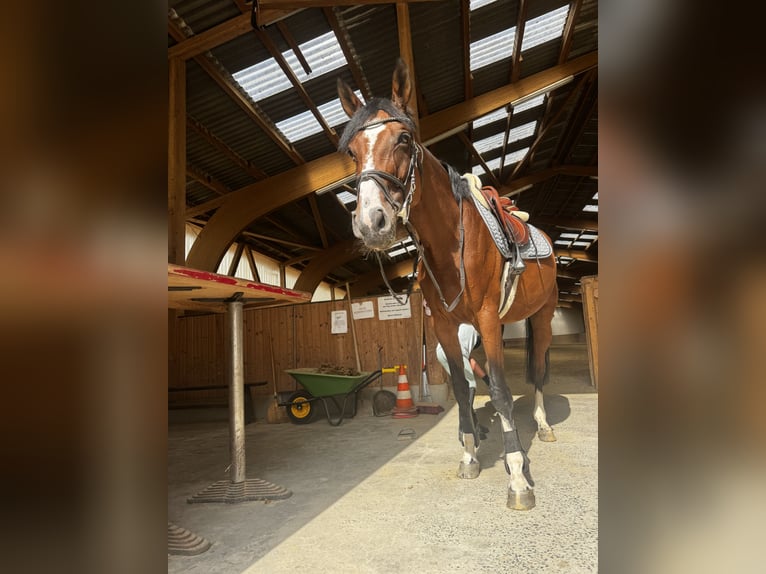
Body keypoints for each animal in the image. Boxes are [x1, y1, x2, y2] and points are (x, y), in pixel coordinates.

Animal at [337, 59, 558, 510]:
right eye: (352, 151)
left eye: (405, 139)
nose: (371, 223)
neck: (450, 243)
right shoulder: (443, 326)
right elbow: (460, 385)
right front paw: (471, 455)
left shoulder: (487, 319)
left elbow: (501, 391)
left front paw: (517, 478)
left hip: (543, 315)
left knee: (540, 371)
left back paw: (543, 425)